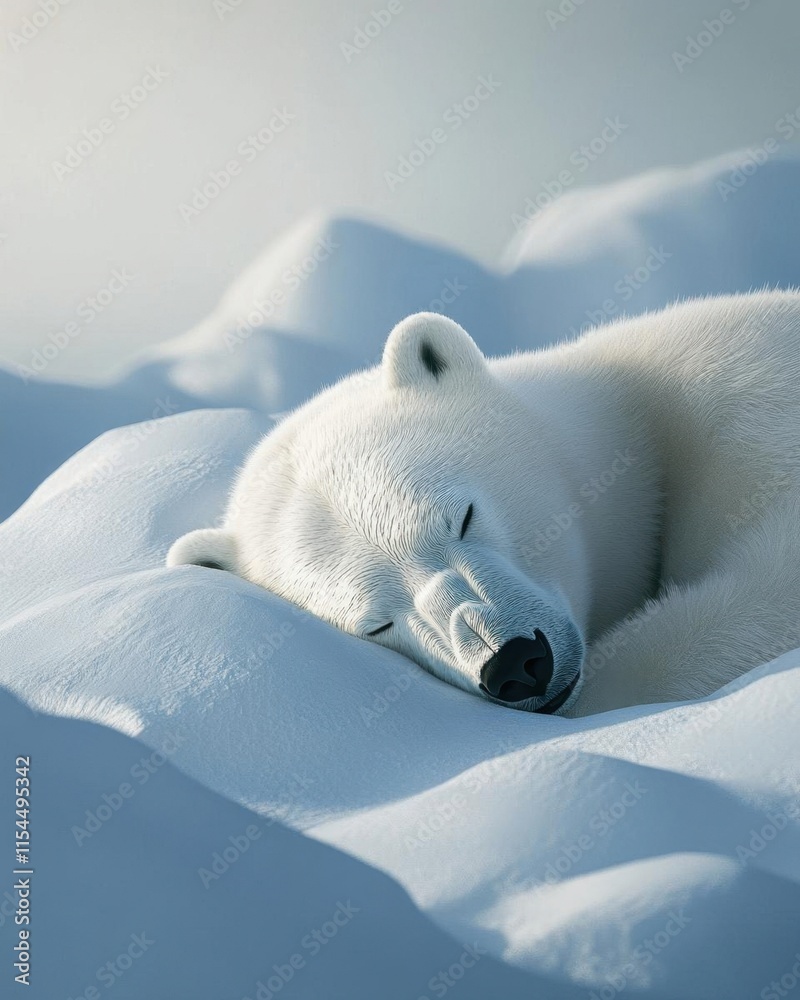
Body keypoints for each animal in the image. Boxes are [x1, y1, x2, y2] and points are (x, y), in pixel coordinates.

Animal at [167, 290, 800, 716]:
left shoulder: (746, 404)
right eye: (375, 623)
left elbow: (768, 583)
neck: (635, 429)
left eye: (462, 518)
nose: (514, 662)